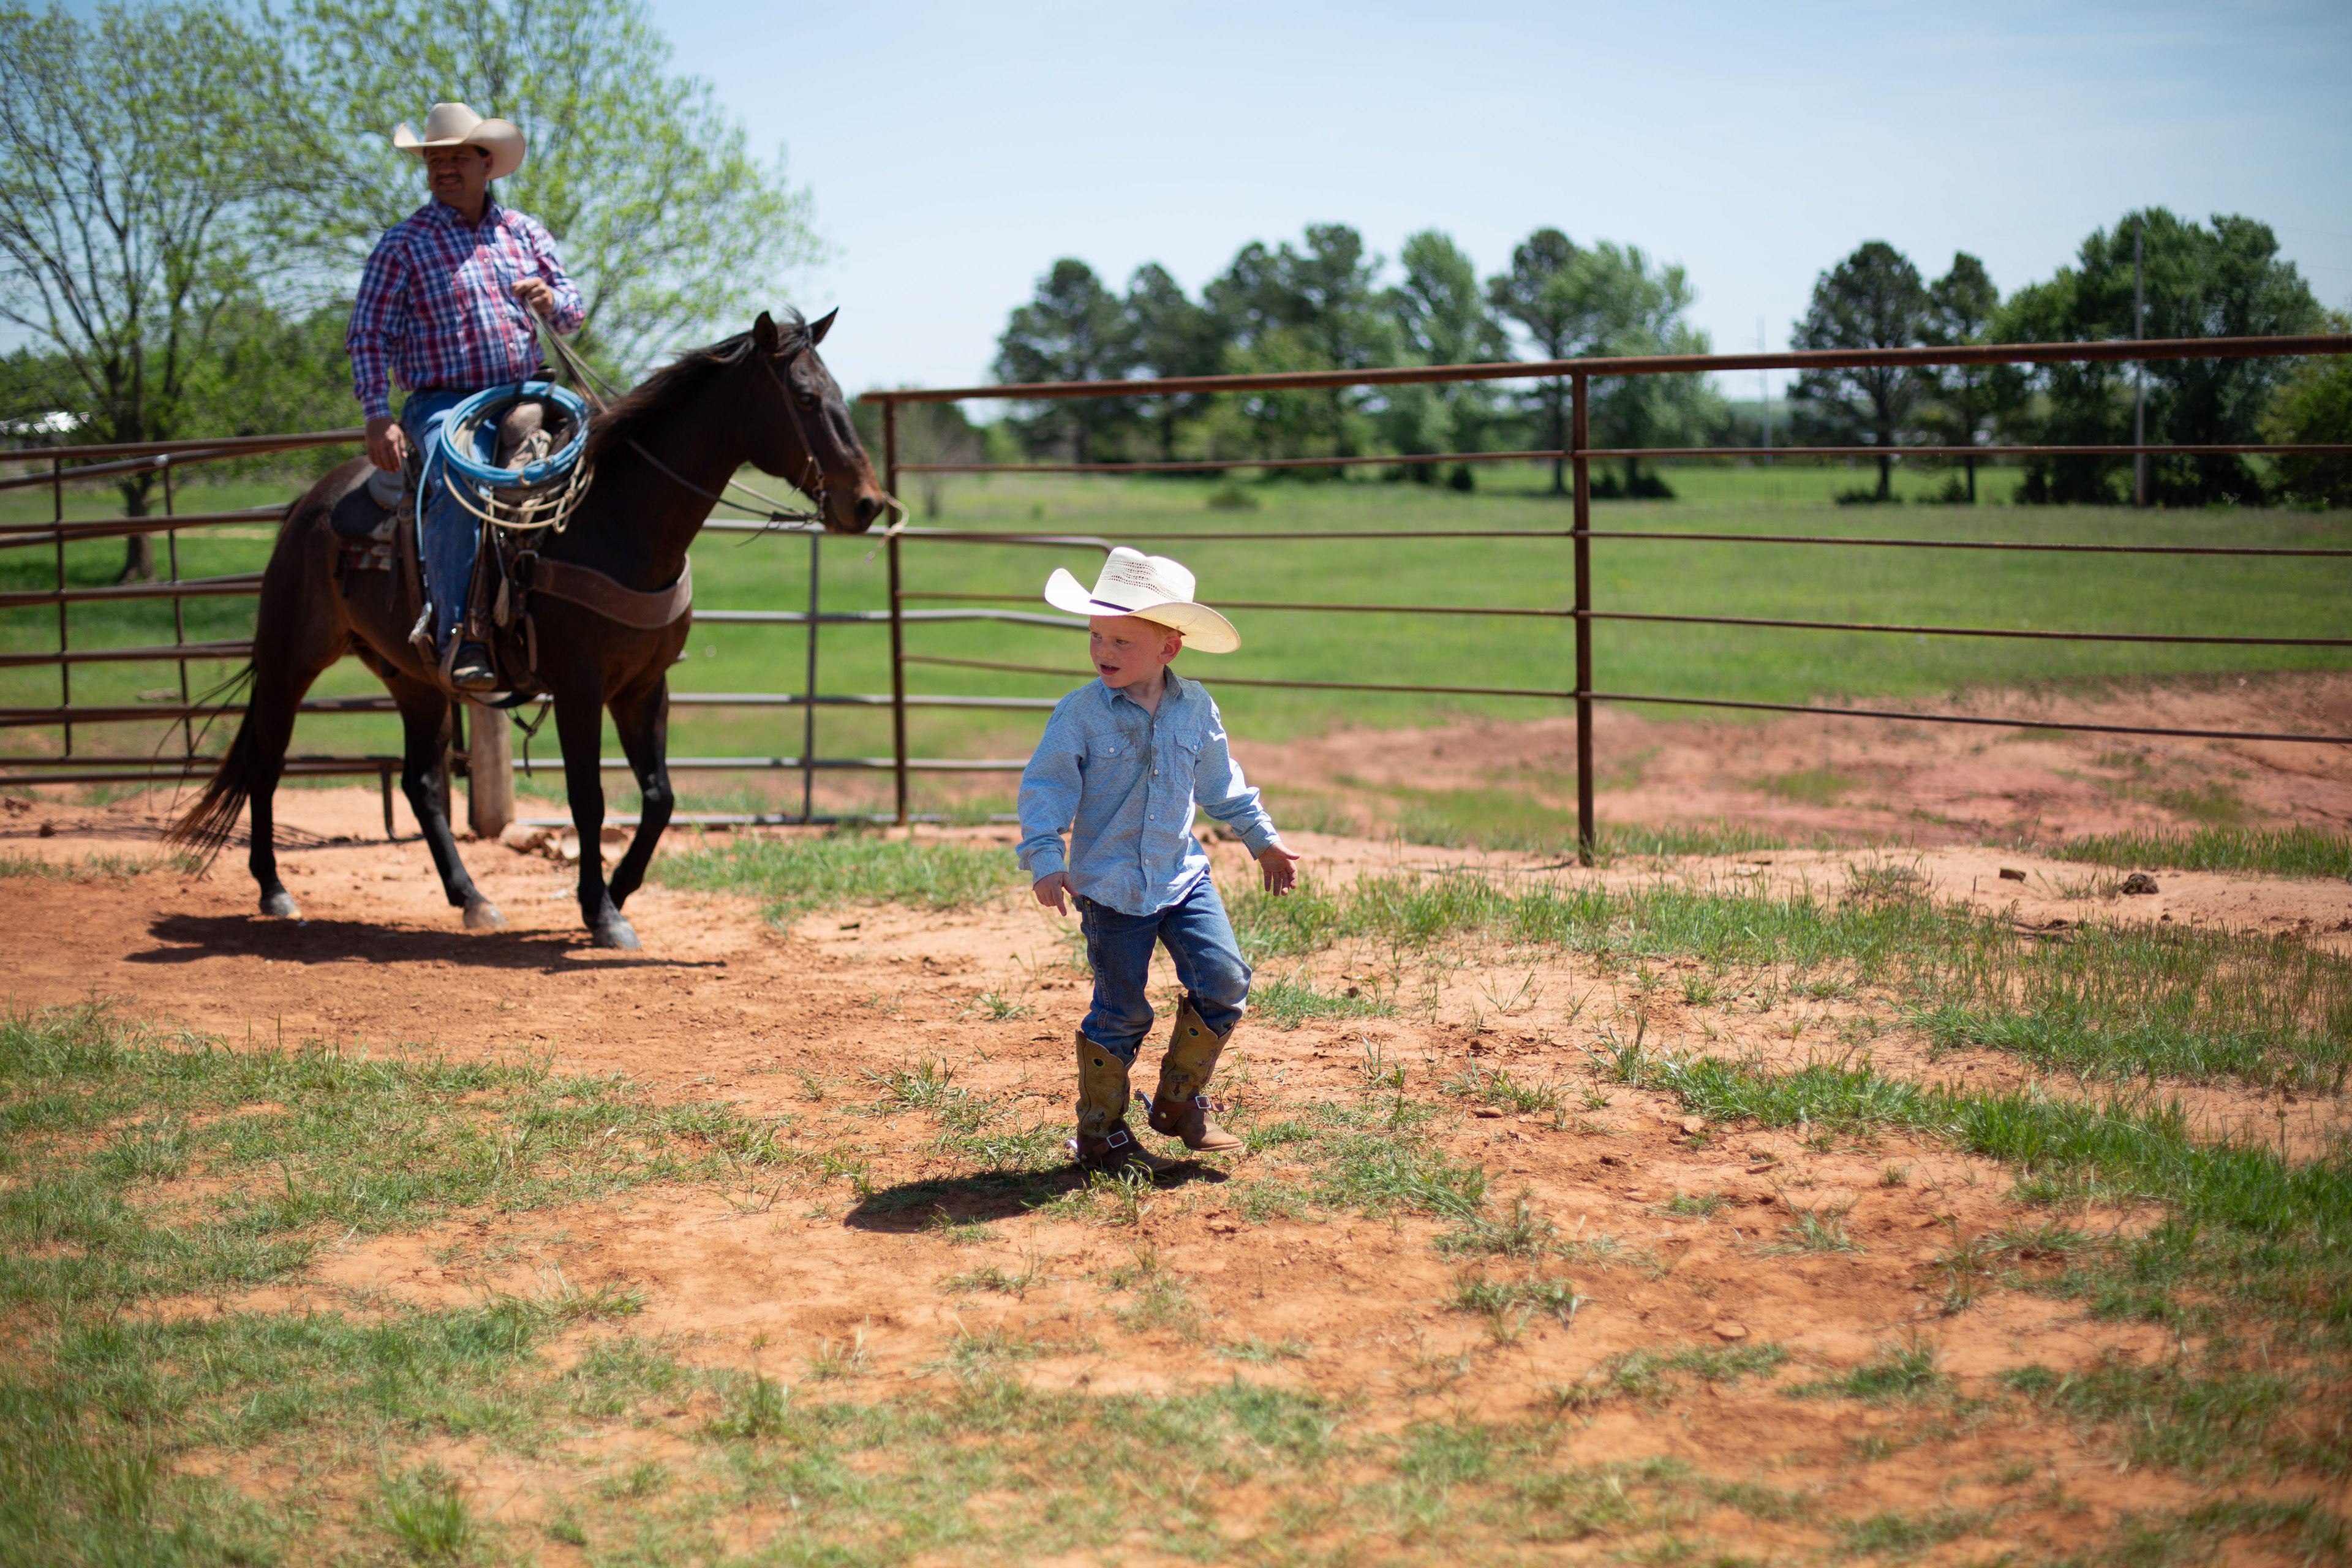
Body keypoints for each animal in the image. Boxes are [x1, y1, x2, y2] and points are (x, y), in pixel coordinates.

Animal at [170, 309, 888, 949]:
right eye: (805, 397)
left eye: (839, 396)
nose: (867, 504)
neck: (616, 522)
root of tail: (308, 504)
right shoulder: (578, 687)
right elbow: (589, 798)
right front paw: (601, 912)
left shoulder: (644, 686)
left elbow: (658, 797)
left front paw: (613, 892)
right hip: (291, 658)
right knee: (267, 759)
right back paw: (274, 890)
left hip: (414, 680)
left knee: (421, 785)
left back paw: (472, 899)